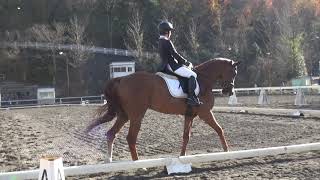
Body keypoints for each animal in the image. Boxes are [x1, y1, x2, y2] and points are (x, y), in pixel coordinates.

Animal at [86, 58, 239, 162]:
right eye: (233, 72)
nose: (228, 91)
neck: (203, 80)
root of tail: (122, 79)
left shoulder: (190, 115)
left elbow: (186, 136)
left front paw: (182, 156)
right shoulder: (205, 113)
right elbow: (219, 129)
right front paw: (227, 151)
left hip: (124, 115)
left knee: (111, 134)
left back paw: (109, 160)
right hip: (137, 115)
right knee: (130, 138)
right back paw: (139, 164)